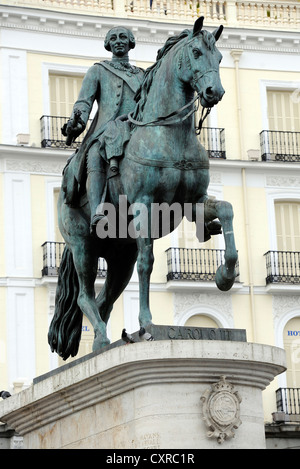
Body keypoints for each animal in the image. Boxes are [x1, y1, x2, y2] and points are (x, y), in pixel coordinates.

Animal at [48, 17, 238, 358]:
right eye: (196, 52)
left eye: (218, 58)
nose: (214, 92)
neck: (170, 133)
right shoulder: (144, 205)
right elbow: (147, 262)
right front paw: (148, 323)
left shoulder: (194, 202)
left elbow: (226, 210)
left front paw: (225, 276)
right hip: (83, 246)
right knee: (85, 295)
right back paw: (102, 340)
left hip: (120, 257)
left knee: (104, 300)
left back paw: (102, 343)